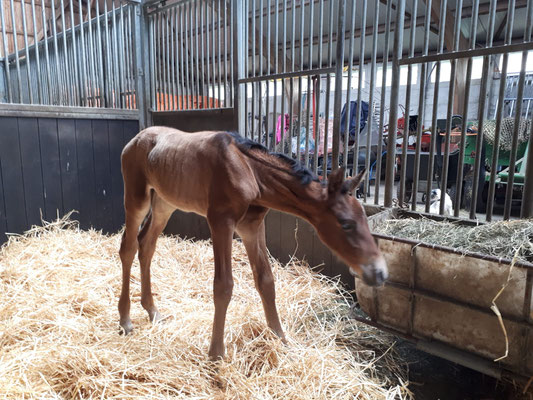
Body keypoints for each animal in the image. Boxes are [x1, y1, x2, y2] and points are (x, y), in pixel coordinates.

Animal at [119, 127, 386, 360]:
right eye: (346, 224)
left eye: (365, 218)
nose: (380, 273)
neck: (250, 171)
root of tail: (134, 140)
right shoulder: (221, 222)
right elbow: (223, 286)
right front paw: (216, 354)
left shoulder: (252, 226)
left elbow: (266, 281)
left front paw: (280, 338)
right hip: (136, 198)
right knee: (128, 248)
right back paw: (125, 320)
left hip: (164, 203)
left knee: (147, 245)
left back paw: (152, 311)